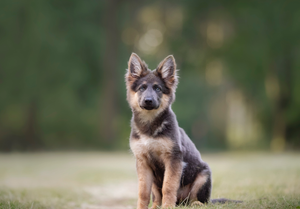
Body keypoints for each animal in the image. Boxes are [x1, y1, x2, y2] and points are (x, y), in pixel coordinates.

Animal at [125, 53, 232, 208]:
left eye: (158, 89)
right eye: (141, 88)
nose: (148, 101)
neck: (150, 125)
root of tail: (182, 202)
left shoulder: (173, 159)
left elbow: (168, 186)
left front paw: (168, 206)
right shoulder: (143, 162)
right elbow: (143, 192)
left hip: (203, 175)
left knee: (197, 199)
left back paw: (195, 204)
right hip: (155, 181)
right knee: (157, 196)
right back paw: (156, 205)